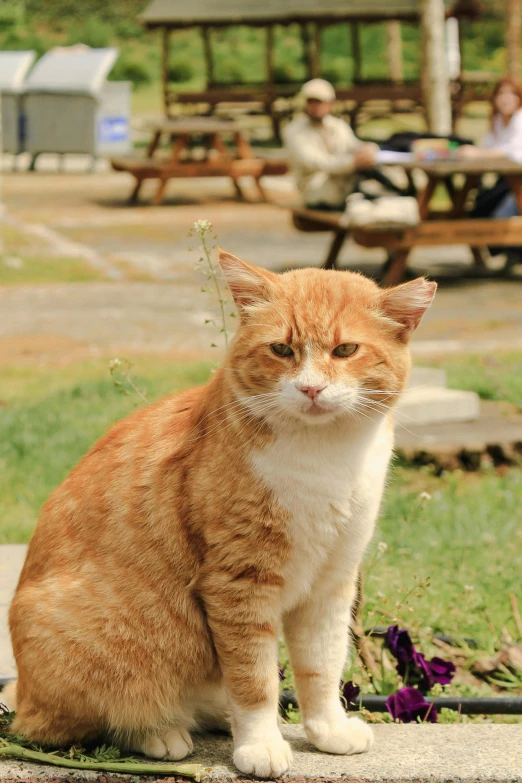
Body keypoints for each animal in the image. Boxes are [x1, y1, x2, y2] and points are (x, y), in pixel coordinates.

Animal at [6, 256, 432, 776]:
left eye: (345, 349)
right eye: (281, 349)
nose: (311, 388)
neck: (325, 458)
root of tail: (23, 696)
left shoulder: (332, 582)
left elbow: (322, 666)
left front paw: (326, 729)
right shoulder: (239, 582)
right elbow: (255, 679)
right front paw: (260, 744)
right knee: (90, 721)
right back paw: (161, 733)